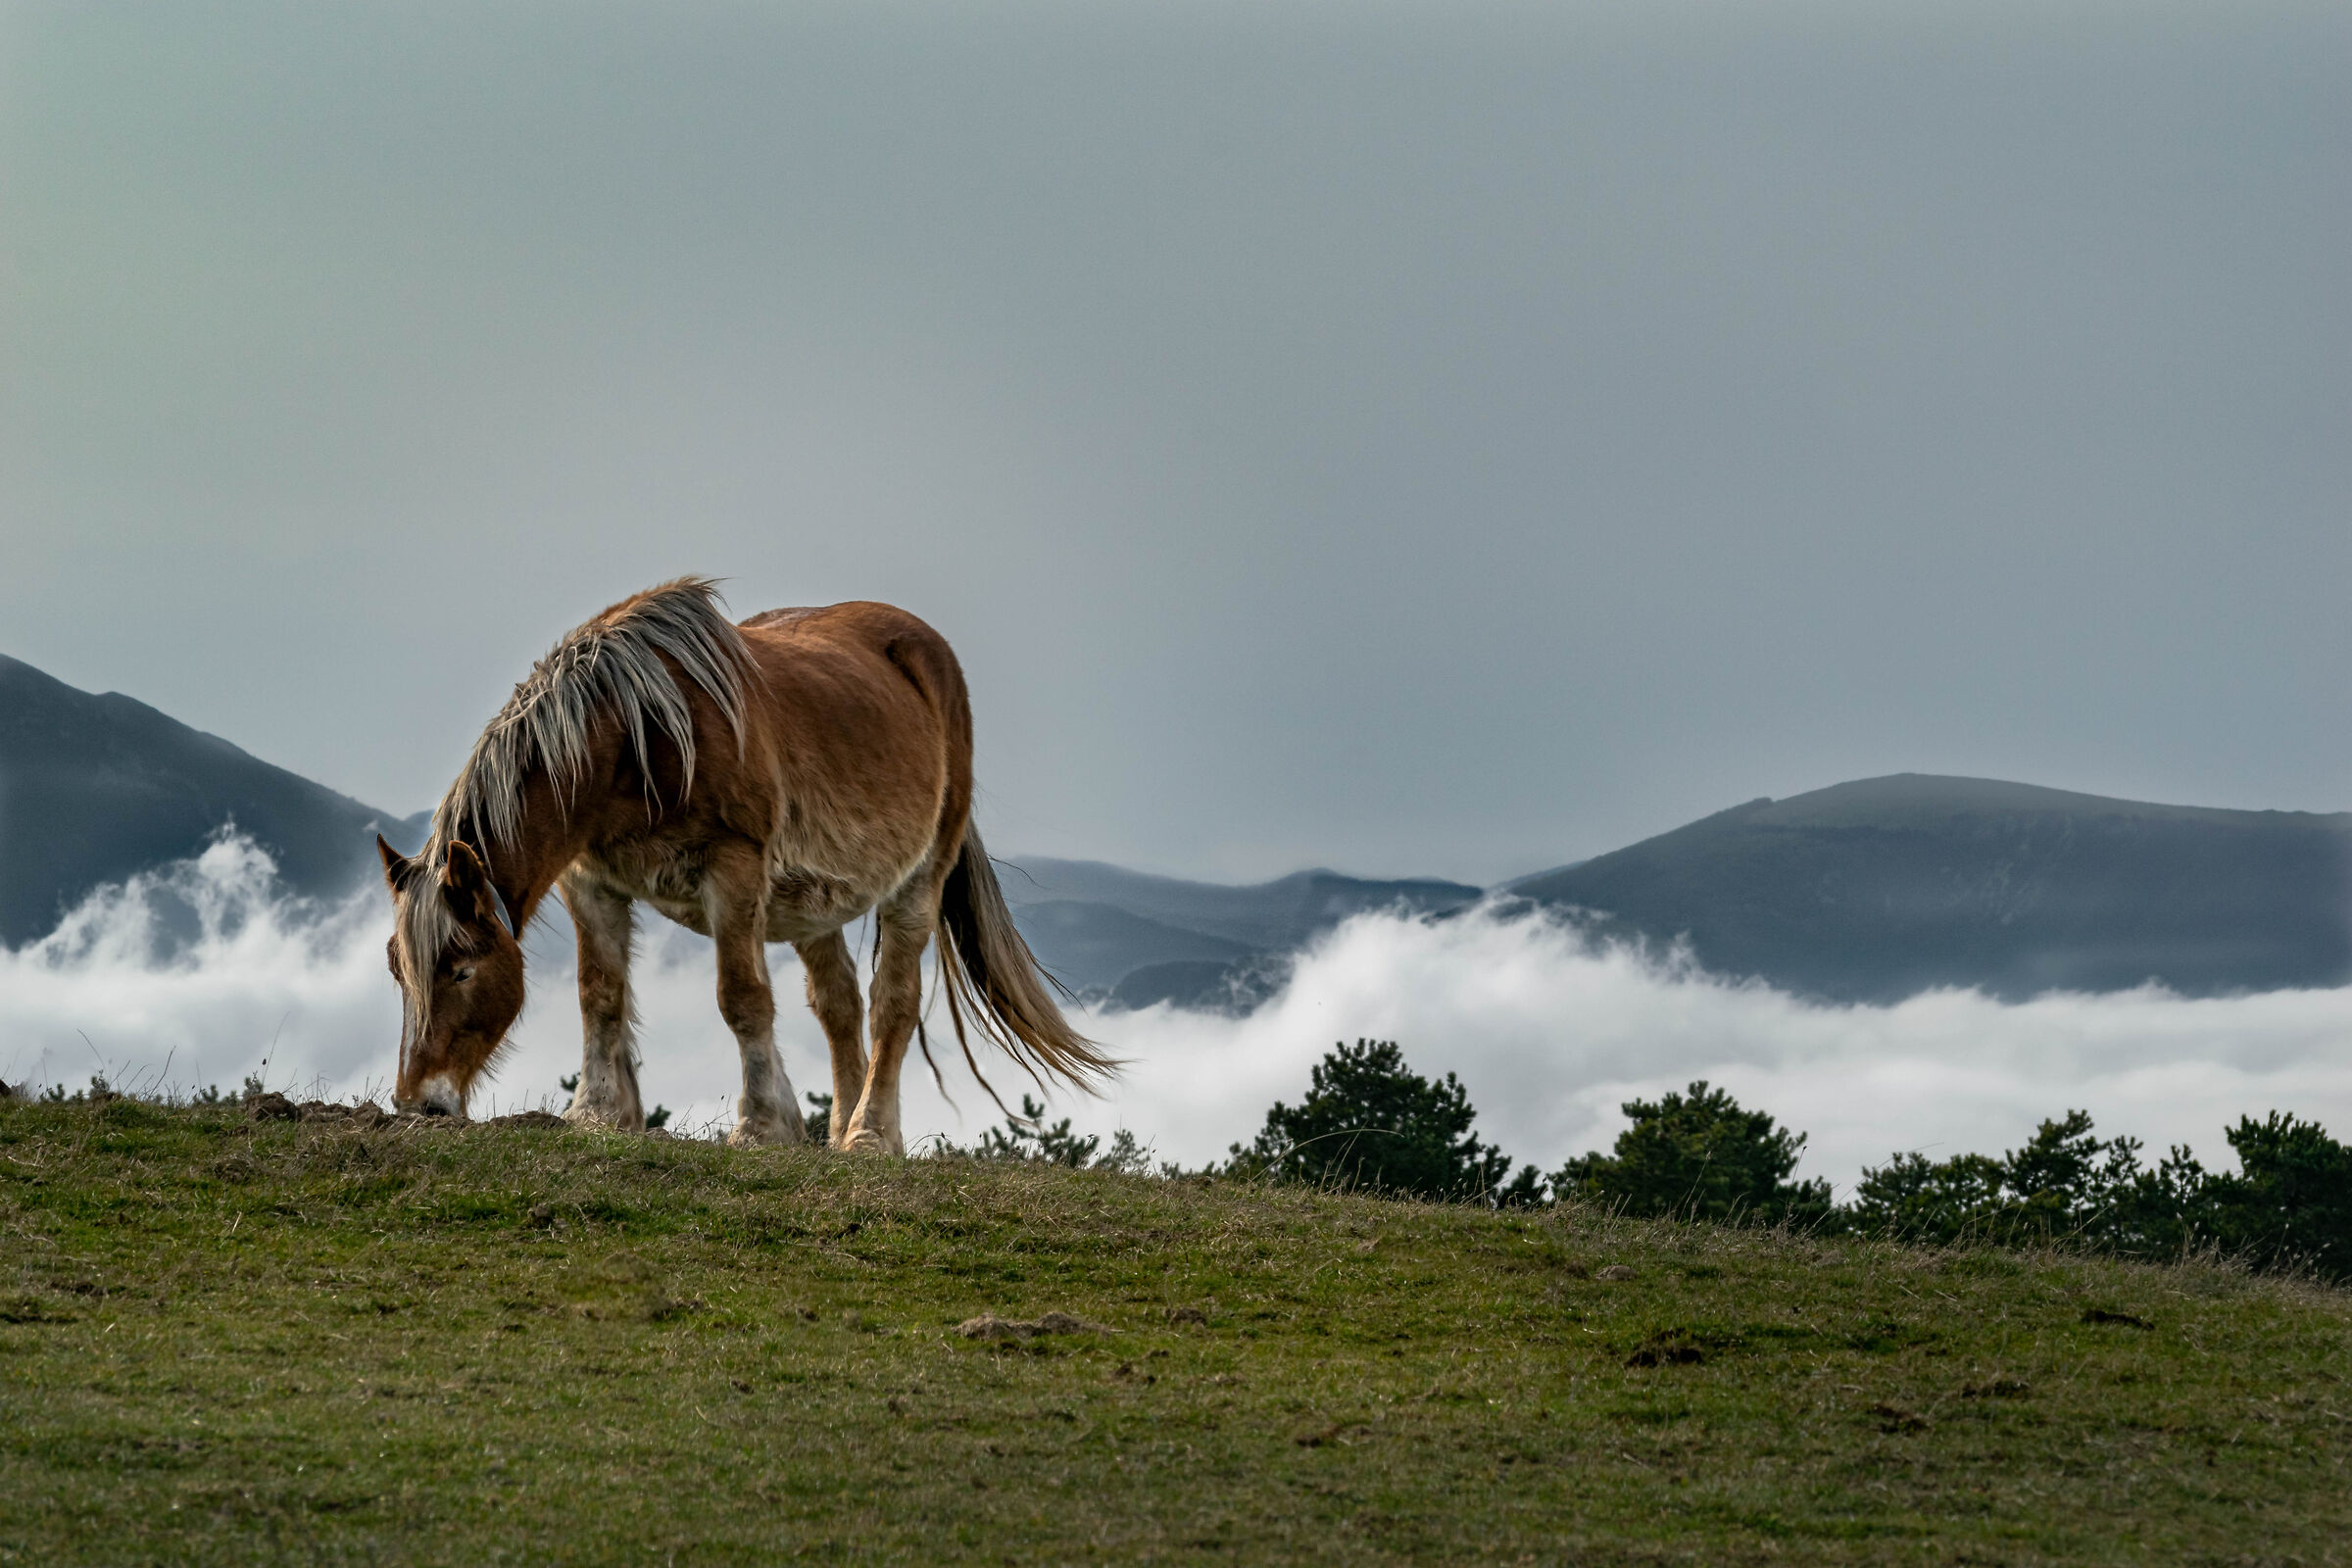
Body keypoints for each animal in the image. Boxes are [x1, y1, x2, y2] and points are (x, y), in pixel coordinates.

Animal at [375, 578, 1111, 1151]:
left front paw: (759, 1125)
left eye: (461, 968)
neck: (636, 735)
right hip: (816, 903)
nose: (417, 1104)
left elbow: (742, 999)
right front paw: (598, 1115)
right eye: (397, 971)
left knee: (891, 1004)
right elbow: (600, 995)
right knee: (839, 1007)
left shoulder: (731, 869)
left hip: (919, 878)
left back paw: (870, 1136)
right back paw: (839, 1133)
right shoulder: (591, 882)